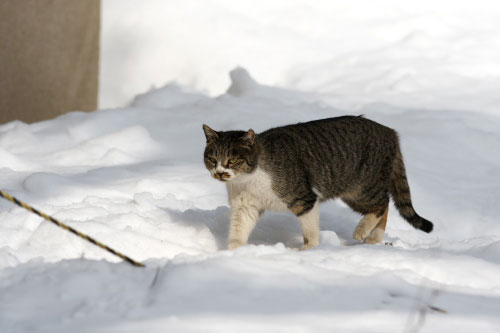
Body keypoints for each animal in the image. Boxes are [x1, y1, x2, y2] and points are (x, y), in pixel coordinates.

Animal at [201, 116, 432, 249]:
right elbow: (238, 232)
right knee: (384, 206)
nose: (219, 173)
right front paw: (233, 254)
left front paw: (308, 250)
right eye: (212, 159)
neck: (248, 179)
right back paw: (374, 238)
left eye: (232, 160)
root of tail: (390, 132)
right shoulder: (244, 206)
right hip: (354, 193)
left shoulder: (303, 199)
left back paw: (362, 231)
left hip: (362, 187)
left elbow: (309, 230)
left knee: (382, 203)